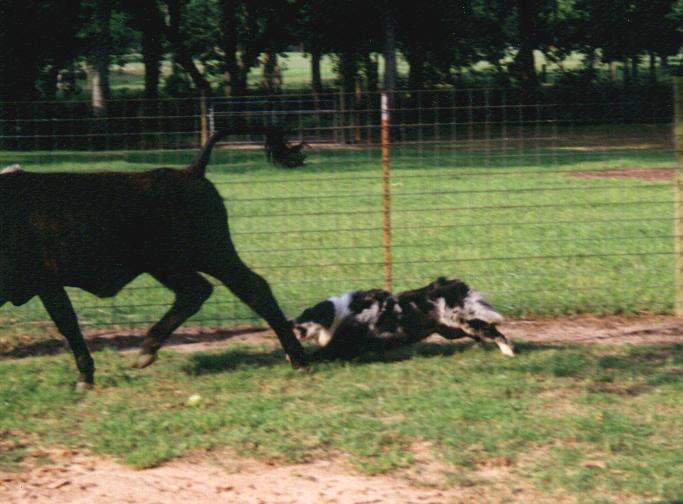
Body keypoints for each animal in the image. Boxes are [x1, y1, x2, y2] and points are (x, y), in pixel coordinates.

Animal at [0, 129, 308, 386]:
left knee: (252, 288)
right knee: (197, 291)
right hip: (170, 265)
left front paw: (85, 378)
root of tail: (190, 172)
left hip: (211, 254)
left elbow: (68, 324)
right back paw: (147, 350)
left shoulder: (47, 283)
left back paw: (298, 359)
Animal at [292, 280, 512, 358]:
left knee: (493, 331)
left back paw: (508, 352)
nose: (292, 324)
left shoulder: (341, 343)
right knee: (482, 333)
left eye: (309, 316)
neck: (340, 314)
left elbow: (317, 354)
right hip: (451, 330)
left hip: (464, 322)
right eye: (303, 314)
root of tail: (453, 286)